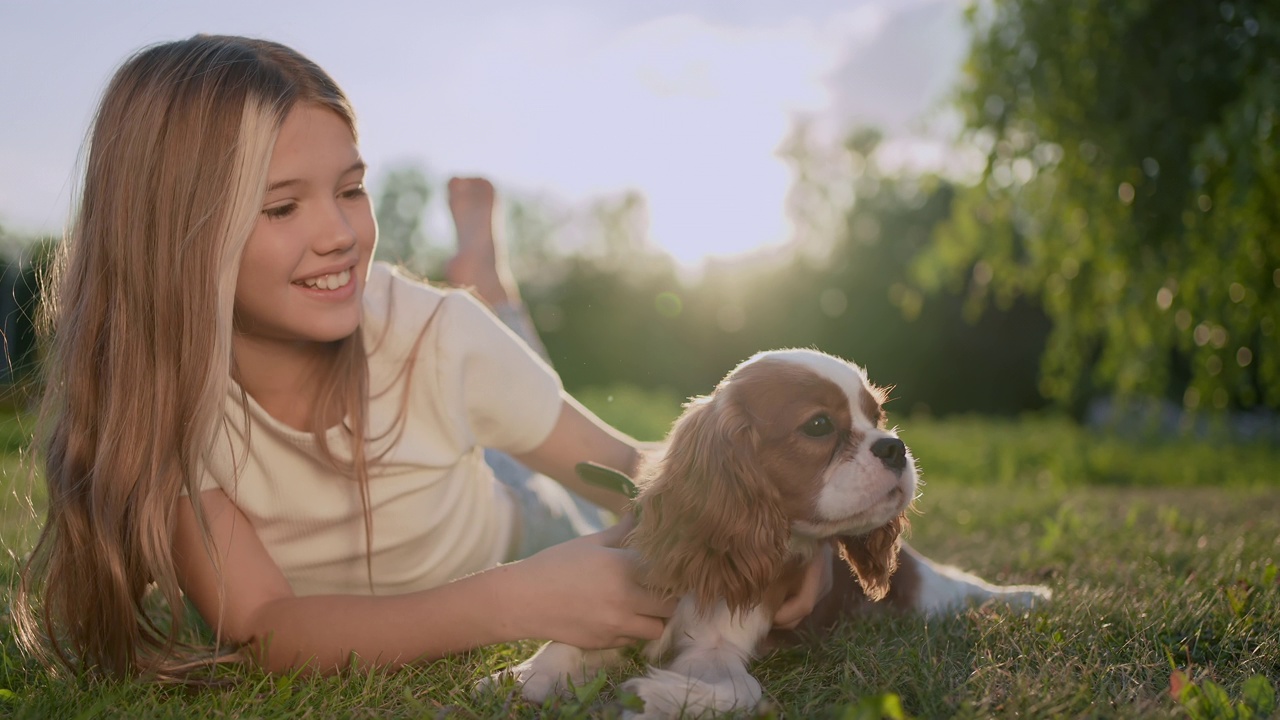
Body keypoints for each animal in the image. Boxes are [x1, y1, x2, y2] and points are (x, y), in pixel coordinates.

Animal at [481, 345, 1049, 712]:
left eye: (879, 417)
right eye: (819, 426)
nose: (895, 446)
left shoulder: (720, 650)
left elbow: (741, 690)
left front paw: (655, 694)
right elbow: (566, 645)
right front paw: (520, 677)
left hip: (926, 592)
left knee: (966, 588)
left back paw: (1028, 596)